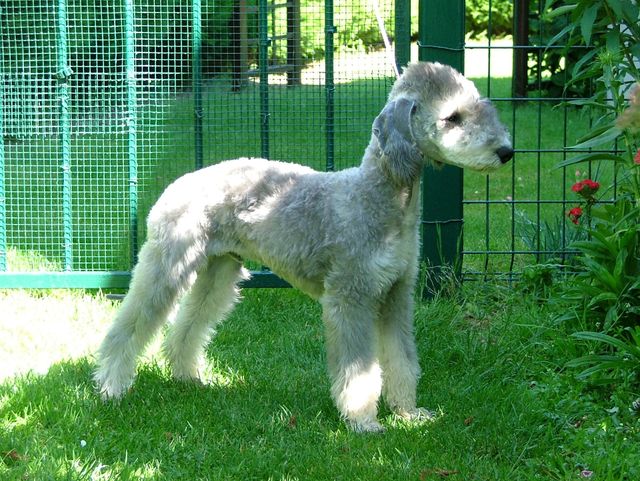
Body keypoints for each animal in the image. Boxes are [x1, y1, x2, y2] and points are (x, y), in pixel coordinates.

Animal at [96, 61, 516, 432]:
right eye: (452, 117)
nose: (506, 152)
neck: (379, 196)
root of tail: (174, 184)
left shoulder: (397, 295)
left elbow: (402, 359)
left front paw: (409, 414)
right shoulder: (350, 296)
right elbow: (358, 369)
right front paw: (363, 421)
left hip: (220, 268)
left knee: (188, 325)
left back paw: (186, 377)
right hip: (168, 263)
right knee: (128, 326)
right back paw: (110, 387)